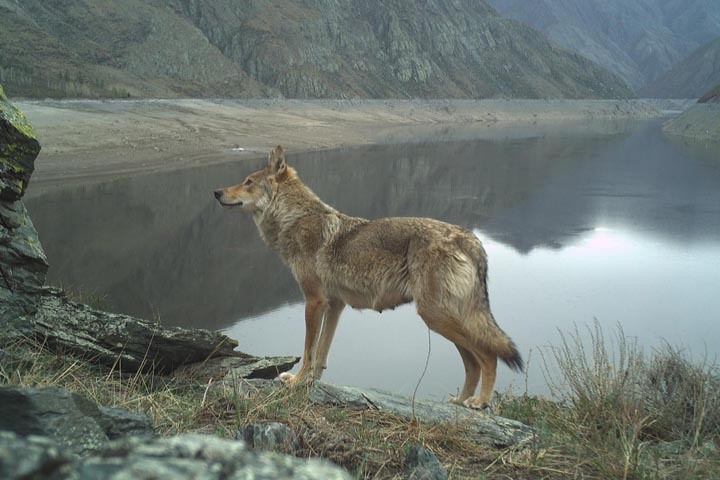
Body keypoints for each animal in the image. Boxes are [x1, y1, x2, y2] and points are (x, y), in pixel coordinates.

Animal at [214, 146, 524, 408]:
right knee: (472, 362)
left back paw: (479, 402)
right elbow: (322, 353)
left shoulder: (313, 302)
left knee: (488, 356)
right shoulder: (334, 305)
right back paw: (460, 401)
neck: (296, 219)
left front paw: (297, 381)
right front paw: (312, 383)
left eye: (247, 182)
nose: (216, 191)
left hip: (436, 316)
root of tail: (470, 239)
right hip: (442, 318)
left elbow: (308, 349)